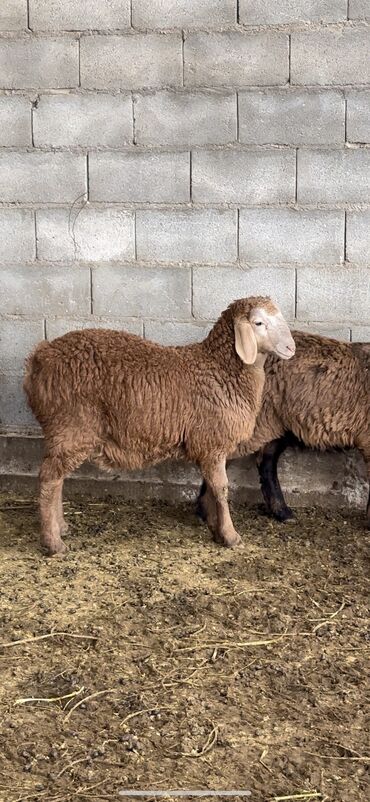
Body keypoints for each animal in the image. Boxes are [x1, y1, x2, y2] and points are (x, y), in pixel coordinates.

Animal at [23, 296, 294, 552]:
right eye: (258, 323)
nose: (291, 347)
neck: (220, 370)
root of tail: (39, 358)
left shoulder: (208, 446)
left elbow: (211, 487)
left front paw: (213, 525)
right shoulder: (212, 442)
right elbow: (221, 488)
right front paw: (229, 535)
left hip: (64, 432)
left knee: (57, 479)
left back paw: (61, 527)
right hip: (71, 427)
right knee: (49, 479)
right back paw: (52, 542)